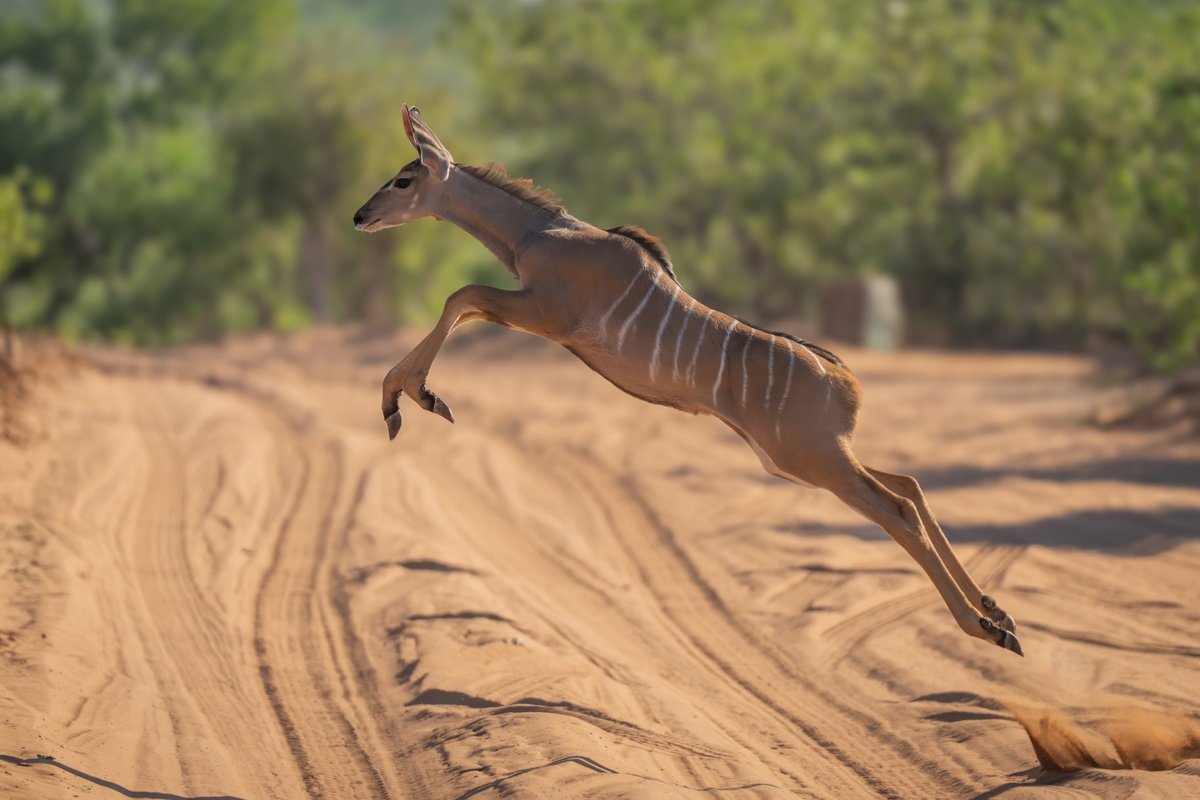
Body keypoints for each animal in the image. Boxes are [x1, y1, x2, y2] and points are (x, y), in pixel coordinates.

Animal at [352, 104, 1022, 657]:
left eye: (404, 179)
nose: (360, 215)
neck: (538, 235)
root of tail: (845, 383)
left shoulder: (545, 316)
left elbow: (460, 296)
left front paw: (410, 399)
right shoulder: (532, 313)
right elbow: (462, 304)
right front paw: (407, 398)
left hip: (813, 461)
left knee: (897, 508)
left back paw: (985, 628)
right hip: (812, 457)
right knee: (910, 485)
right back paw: (998, 612)